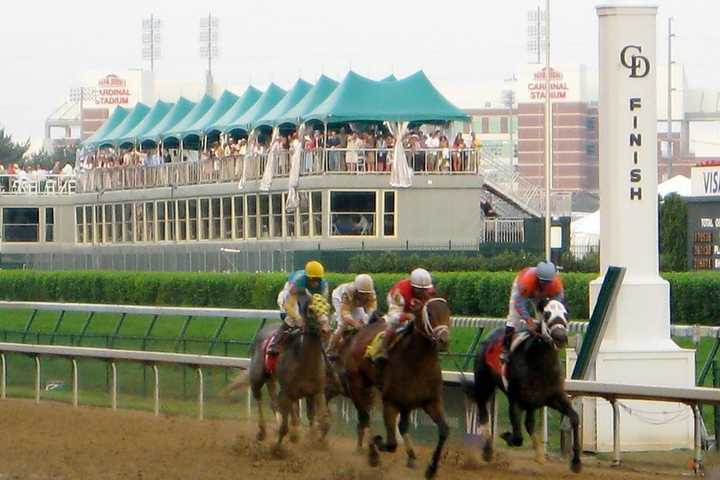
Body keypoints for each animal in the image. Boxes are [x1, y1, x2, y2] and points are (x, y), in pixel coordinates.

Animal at [338, 298, 450, 478]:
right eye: (429, 313)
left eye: (448, 311)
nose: (443, 340)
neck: (417, 363)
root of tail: (359, 330)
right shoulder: (390, 402)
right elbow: (391, 443)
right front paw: (377, 441)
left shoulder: (431, 401)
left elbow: (444, 430)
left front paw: (431, 469)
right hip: (357, 385)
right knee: (364, 417)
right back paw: (372, 454)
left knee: (400, 425)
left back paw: (410, 457)